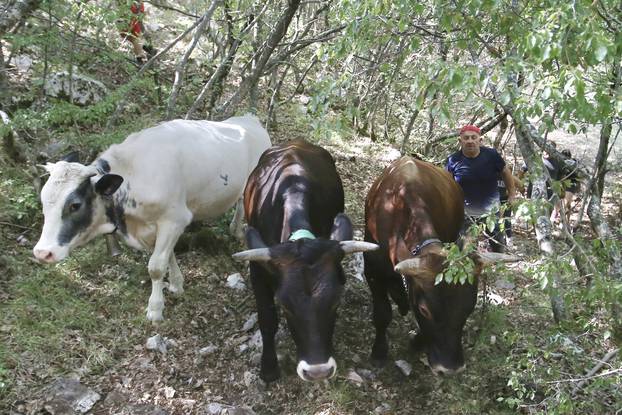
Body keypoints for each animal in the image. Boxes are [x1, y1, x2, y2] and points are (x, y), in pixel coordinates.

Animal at [31, 114, 270, 322]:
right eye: (42, 200)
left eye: (75, 205)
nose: (42, 252)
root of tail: (249, 118)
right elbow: (168, 256)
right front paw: (176, 284)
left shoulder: (174, 219)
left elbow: (155, 266)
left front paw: (155, 309)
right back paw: (235, 230)